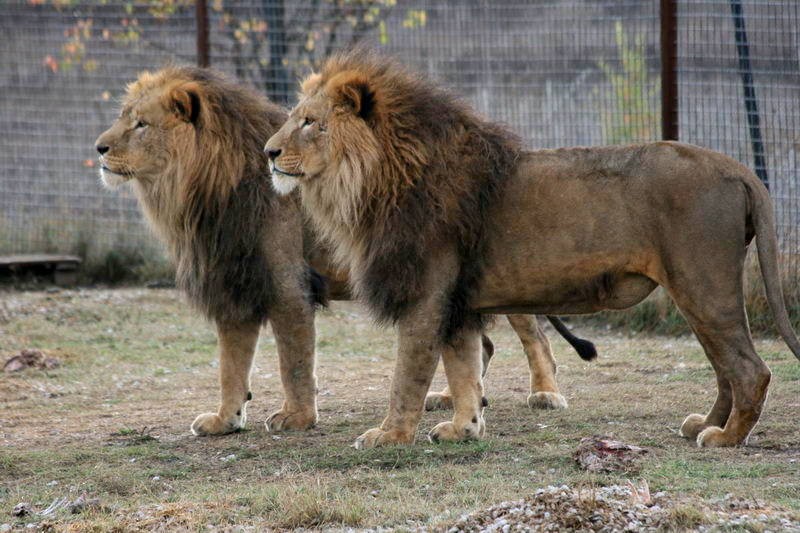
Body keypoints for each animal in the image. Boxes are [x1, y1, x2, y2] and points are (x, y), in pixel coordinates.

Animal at [92, 64, 592, 434]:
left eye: (141, 124)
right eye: (123, 116)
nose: (98, 148)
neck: (202, 188)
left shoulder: (286, 283)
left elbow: (294, 362)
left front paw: (297, 418)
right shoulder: (236, 283)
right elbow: (230, 366)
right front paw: (225, 420)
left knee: (535, 337)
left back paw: (545, 393)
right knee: (475, 340)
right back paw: (454, 398)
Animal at [264, 50, 800, 448]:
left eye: (310, 122)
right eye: (292, 120)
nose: (268, 152)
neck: (372, 180)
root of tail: (737, 168)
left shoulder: (426, 295)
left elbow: (408, 374)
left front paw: (390, 435)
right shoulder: (457, 302)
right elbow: (463, 367)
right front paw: (463, 428)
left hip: (703, 286)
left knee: (750, 370)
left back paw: (726, 438)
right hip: (696, 293)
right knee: (726, 369)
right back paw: (704, 425)